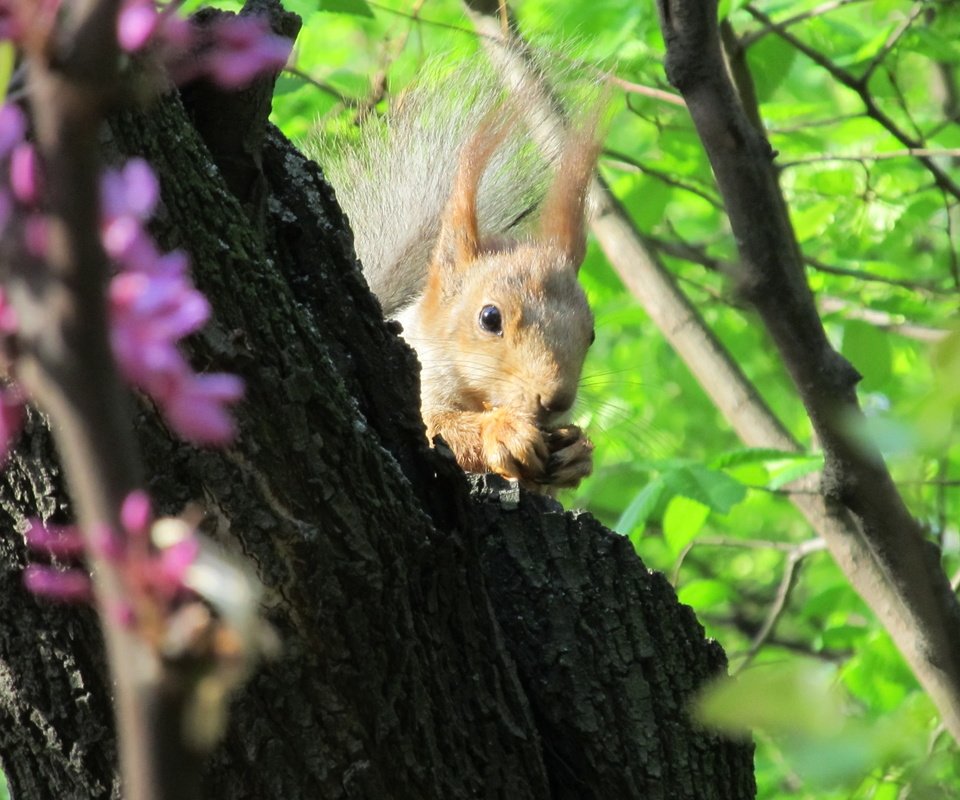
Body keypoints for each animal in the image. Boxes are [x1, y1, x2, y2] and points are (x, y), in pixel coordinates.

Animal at [326, 65, 604, 490]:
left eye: (590, 334)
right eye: (490, 318)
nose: (556, 400)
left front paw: (577, 451)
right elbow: (436, 427)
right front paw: (502, 431)